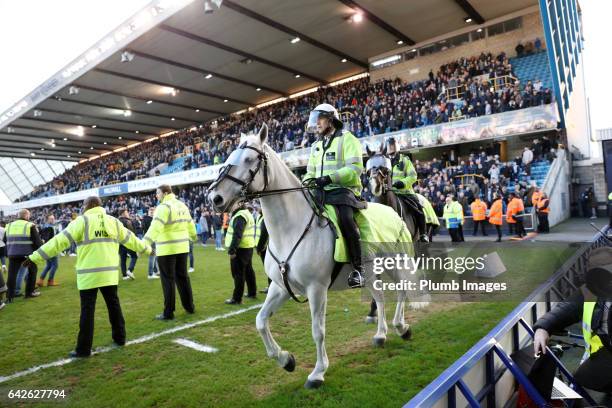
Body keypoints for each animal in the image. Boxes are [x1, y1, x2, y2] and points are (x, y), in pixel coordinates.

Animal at [207, 125, 416, 388]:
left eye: (249, 159)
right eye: (229, 157)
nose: (214, 198)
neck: (290, 230)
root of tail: (390, 209)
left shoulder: (316, 289)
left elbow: (318, 331)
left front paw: (317, 373)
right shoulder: (281, 287)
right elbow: (261, 320)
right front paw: (286, 360)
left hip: (395, 263)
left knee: (402, 290)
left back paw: (402, 327)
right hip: (370, 273)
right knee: (379, 297)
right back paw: (381, 334)